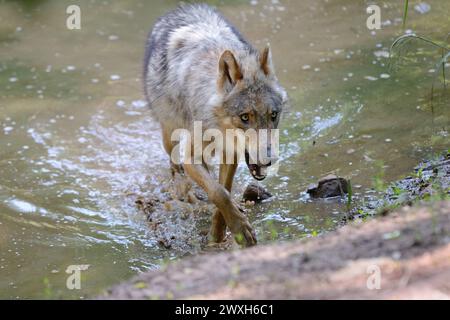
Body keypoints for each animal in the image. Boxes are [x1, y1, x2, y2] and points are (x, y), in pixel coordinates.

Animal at [142, 3, 286, 246]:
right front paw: (239, 228)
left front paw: (220, 235)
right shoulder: (190, 156)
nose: (268, 160)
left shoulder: (231, 153)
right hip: (170, 136)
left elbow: (223, 191)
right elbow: (218, 192)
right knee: (176, 168)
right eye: (245, 117)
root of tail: (181, 8)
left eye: (273, 115)